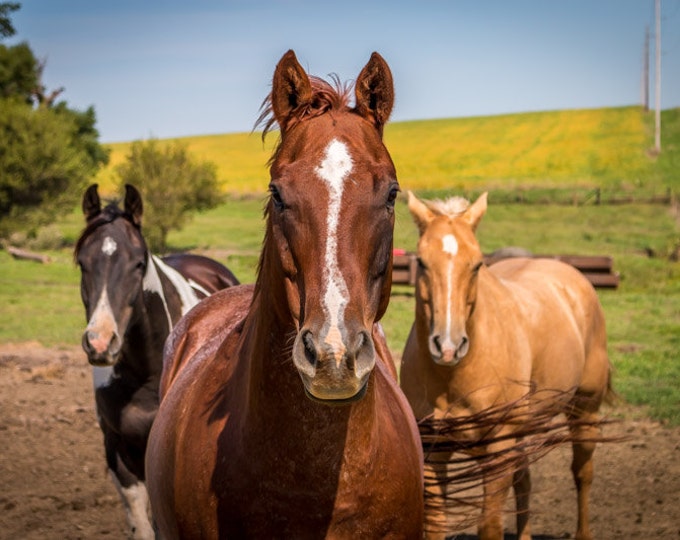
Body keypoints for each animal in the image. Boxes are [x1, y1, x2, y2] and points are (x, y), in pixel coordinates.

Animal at [398, 192, 612, 536]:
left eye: (477, 265)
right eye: (422, 263)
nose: (448, 346)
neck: (455, 374)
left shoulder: (498, 448)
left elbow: (490, 525)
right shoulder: (434, 450)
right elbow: (436, 524)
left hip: (585, 410)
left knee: (582, 473)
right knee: (524, 482)